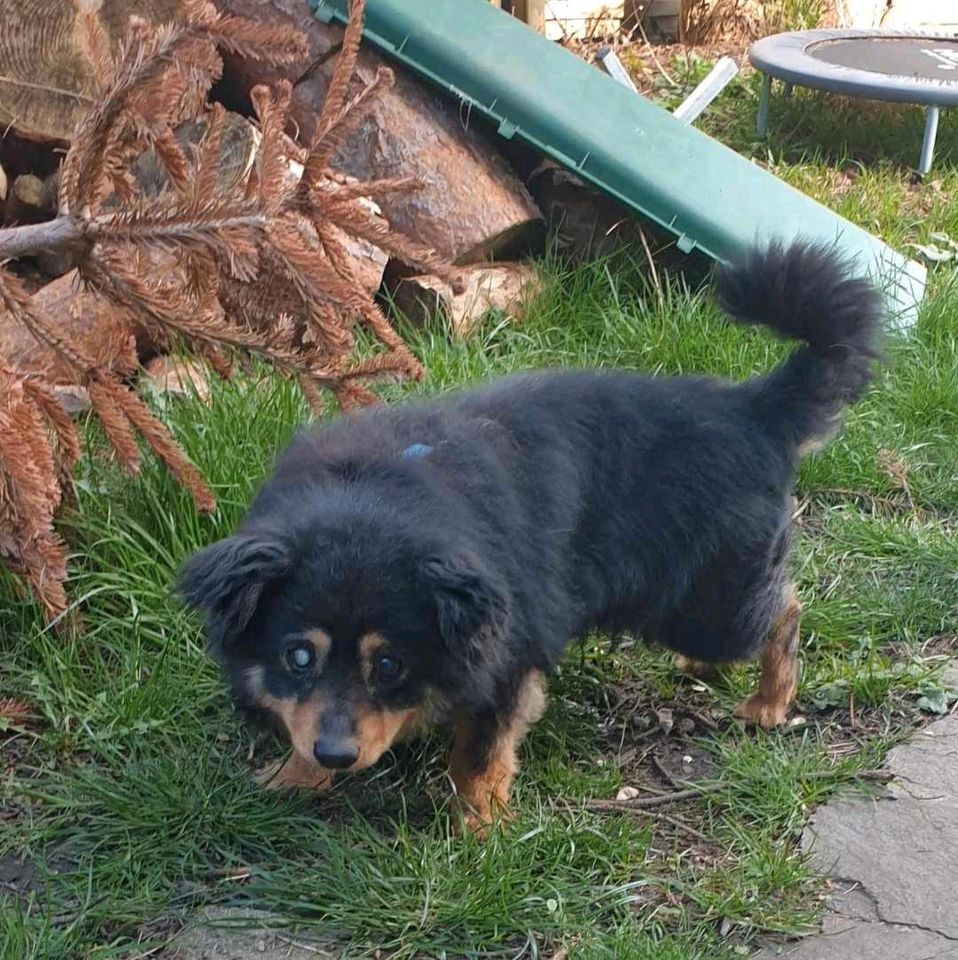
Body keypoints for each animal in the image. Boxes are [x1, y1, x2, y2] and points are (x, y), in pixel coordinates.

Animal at [180, 242, 884, 832]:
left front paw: (480, 829)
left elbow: (480, 753)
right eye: (298, 656)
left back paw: (769, 703)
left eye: (389, 664)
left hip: (710, 602)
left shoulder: (508, 654)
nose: (336, 755)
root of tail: (757, 408)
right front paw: (292, 779)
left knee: (783, 613)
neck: (373, 491)